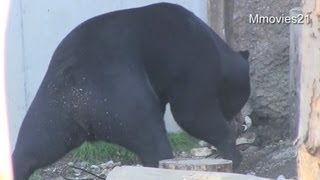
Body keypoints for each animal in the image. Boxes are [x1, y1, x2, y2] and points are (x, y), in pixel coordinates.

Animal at [12, 2, 249, 179]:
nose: (238, 121)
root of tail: (79, 96)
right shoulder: (190, 60)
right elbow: (191, 112)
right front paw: (233, 150)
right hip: (124, 101)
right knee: (153, 140)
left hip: (51, 112)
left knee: (32, 147)